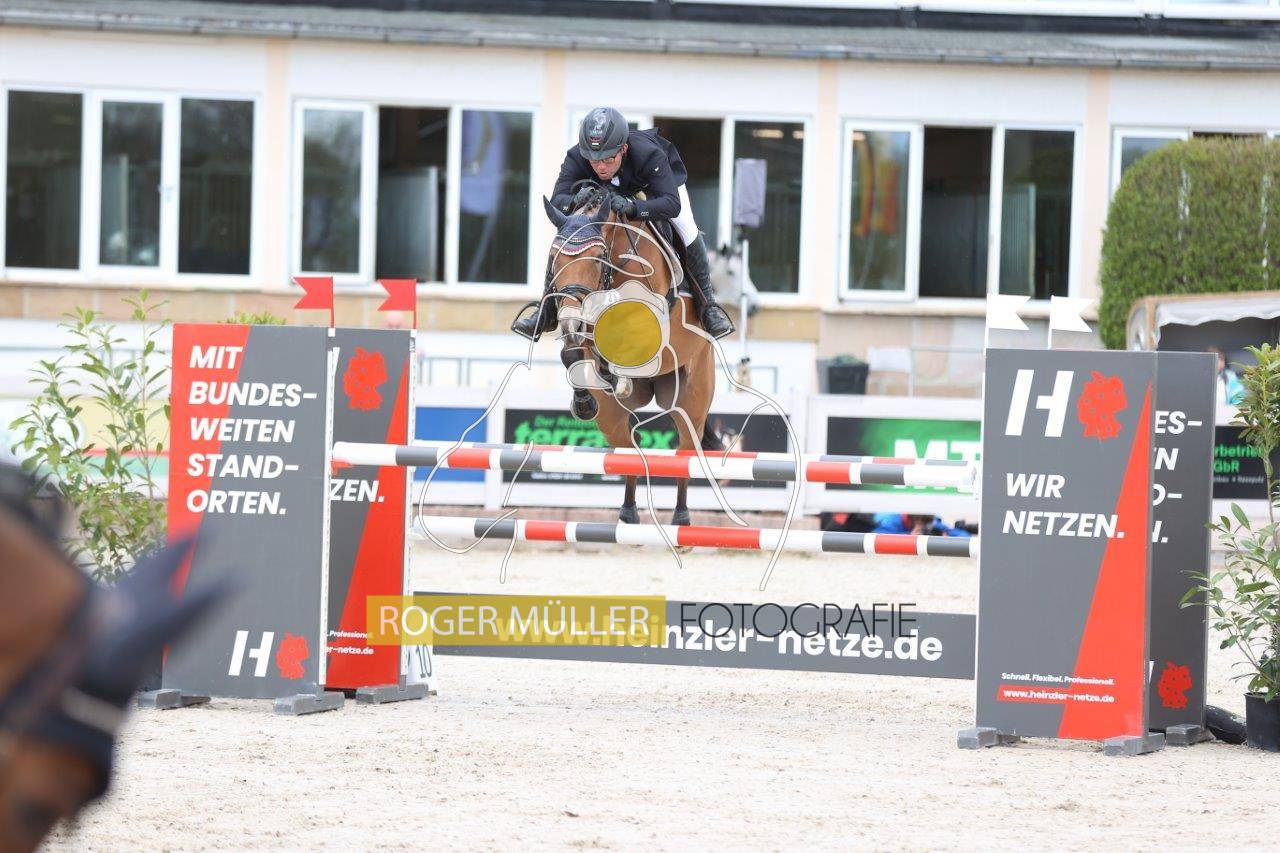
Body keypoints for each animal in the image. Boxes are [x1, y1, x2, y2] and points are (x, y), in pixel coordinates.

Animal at [540, 190, 718, 527]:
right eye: (554, 259)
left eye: (597, 259)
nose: (569, 321)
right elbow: (572, 351)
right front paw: (585, 401)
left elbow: (627, 340)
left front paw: (617, 373)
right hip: (611, 419)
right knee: (628, 451)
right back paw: (628, 511)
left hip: (691, 399)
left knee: (686, 451)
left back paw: (681, 517)